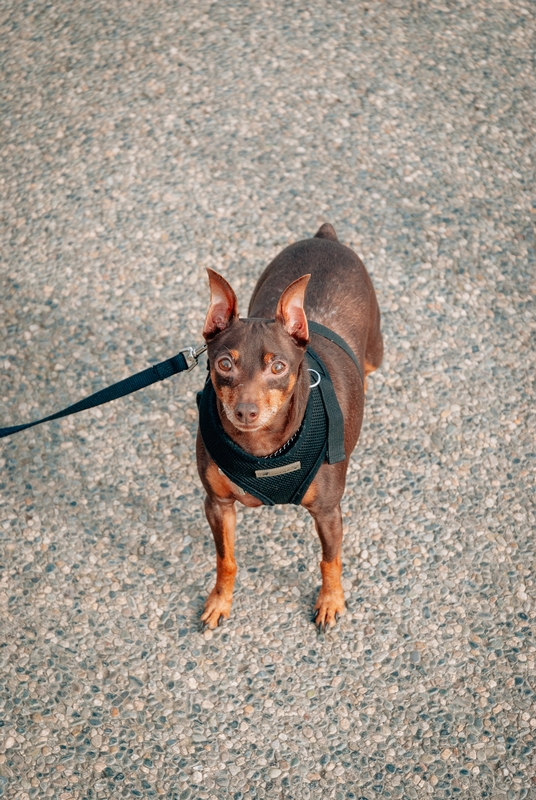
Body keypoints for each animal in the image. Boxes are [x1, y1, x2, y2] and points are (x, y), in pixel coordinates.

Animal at [195, 222, 384, 628]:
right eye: (224, 364)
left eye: (278, 366)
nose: (245, 412)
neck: (262, 448)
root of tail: (326, 237)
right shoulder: (217, 504)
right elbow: (225, 560)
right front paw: (220, 601)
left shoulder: (328, 512)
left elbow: (330, 560)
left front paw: (331, 601)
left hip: (376, 351)